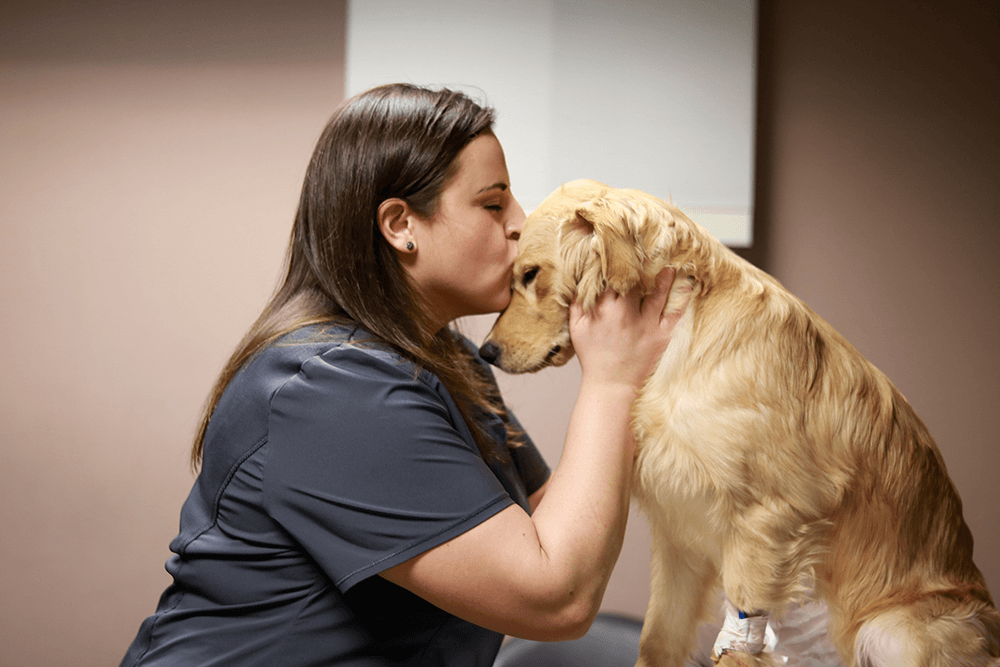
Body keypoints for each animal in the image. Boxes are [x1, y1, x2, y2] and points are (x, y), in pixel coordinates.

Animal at [480, 180, 996, 664]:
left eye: (529, 274)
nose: (485, 351)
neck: (682, 330)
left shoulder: (765, 521)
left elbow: (738, 641)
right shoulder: (678, 536)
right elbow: (657, 639)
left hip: (890, 629)